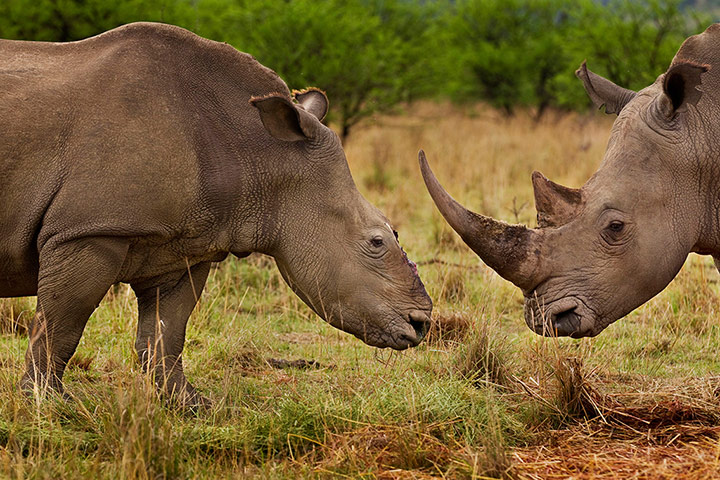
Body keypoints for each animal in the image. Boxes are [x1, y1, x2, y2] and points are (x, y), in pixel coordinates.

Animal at [1, 22, 432, 405]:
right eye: (376, 241)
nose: (421, 325)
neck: (260, 152)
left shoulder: (183, 246)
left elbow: (166, 332)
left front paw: (190, 405)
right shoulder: (88, 231)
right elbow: (62, 323)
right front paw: (47, 403)